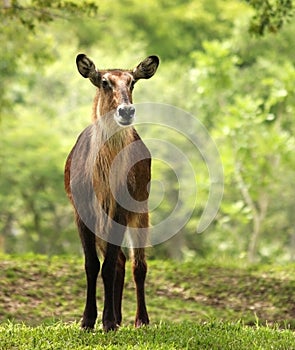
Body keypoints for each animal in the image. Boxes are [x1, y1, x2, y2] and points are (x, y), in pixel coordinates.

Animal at [65, 54, 160, 330]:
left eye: (132, 82)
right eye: (105, 82)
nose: (126, 110)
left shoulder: (119, 210)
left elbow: (107, 266)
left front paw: (105, 321)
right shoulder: (82, 213)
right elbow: (92, 265)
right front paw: (88, 320)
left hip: (140, 209)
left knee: (138, 265)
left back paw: (140, 320)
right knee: (120, 262)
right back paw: (118, 318)